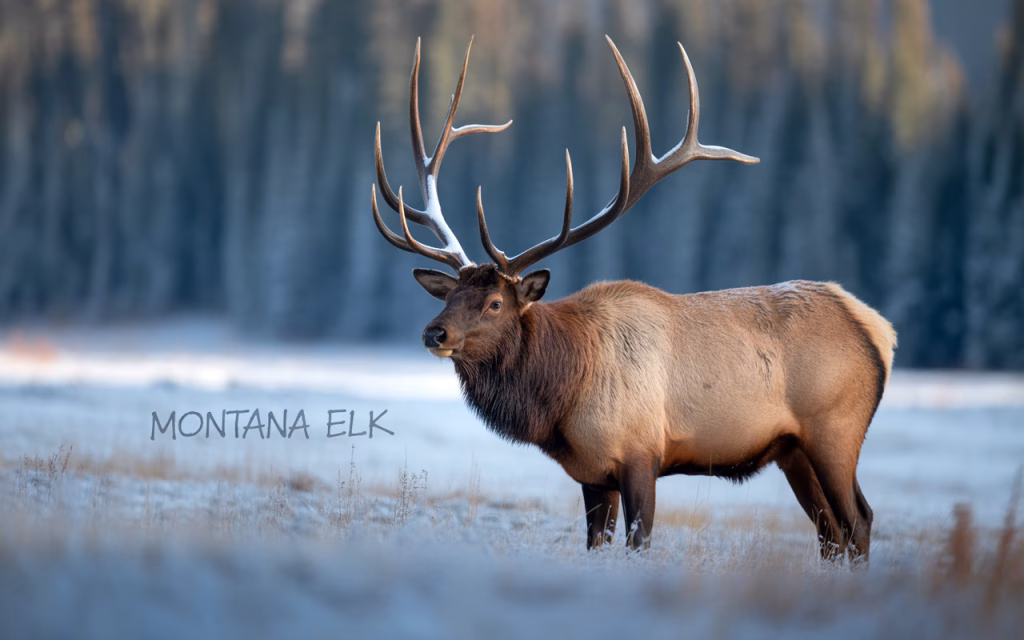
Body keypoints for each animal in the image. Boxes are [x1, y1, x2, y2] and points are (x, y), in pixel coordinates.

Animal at [370, 36, 897, 562]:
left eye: (496, 303)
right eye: (452, 293)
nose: (434, 332)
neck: (561, 397)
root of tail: (878, 328)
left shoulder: (641, 452)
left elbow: (638, 543)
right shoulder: (592, 473)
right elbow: (595, 545)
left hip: (835, 430)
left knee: (859, 519)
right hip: (793, 452)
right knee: (831, 533)